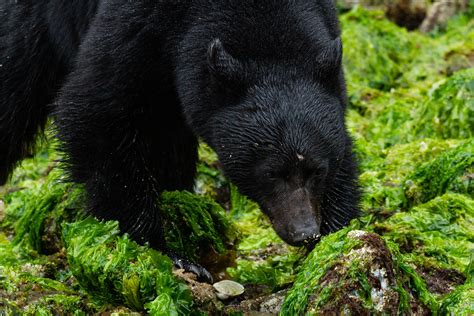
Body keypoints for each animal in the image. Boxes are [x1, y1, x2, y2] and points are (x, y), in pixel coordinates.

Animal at [0, 0, 360, 282]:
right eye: (271, 172)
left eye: (317, 171)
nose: (305, 231)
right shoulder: (138, 24)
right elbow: (98, 110)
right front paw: (164, 252)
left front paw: (337, 237)